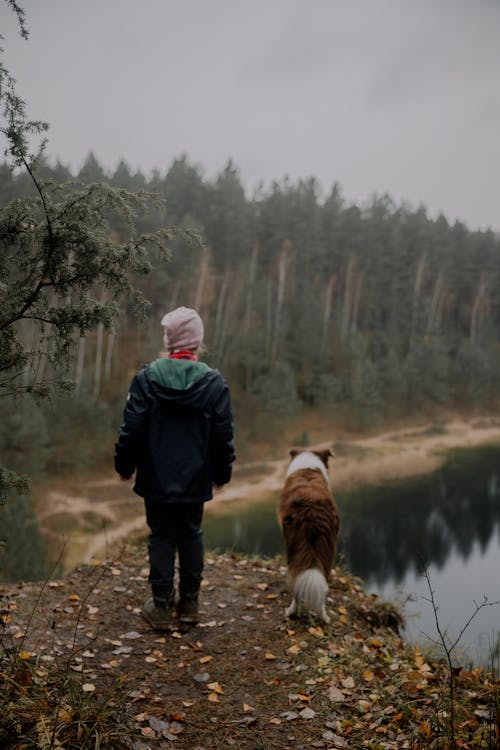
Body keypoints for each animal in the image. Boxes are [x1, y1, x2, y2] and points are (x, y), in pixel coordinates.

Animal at [278, 450, 340, 624]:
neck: (307, 469)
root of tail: (313, 509)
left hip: (293, 548)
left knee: (296, 584)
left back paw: (292, 612)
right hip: (328, 551)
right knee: (323, 585)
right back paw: (323, 616)